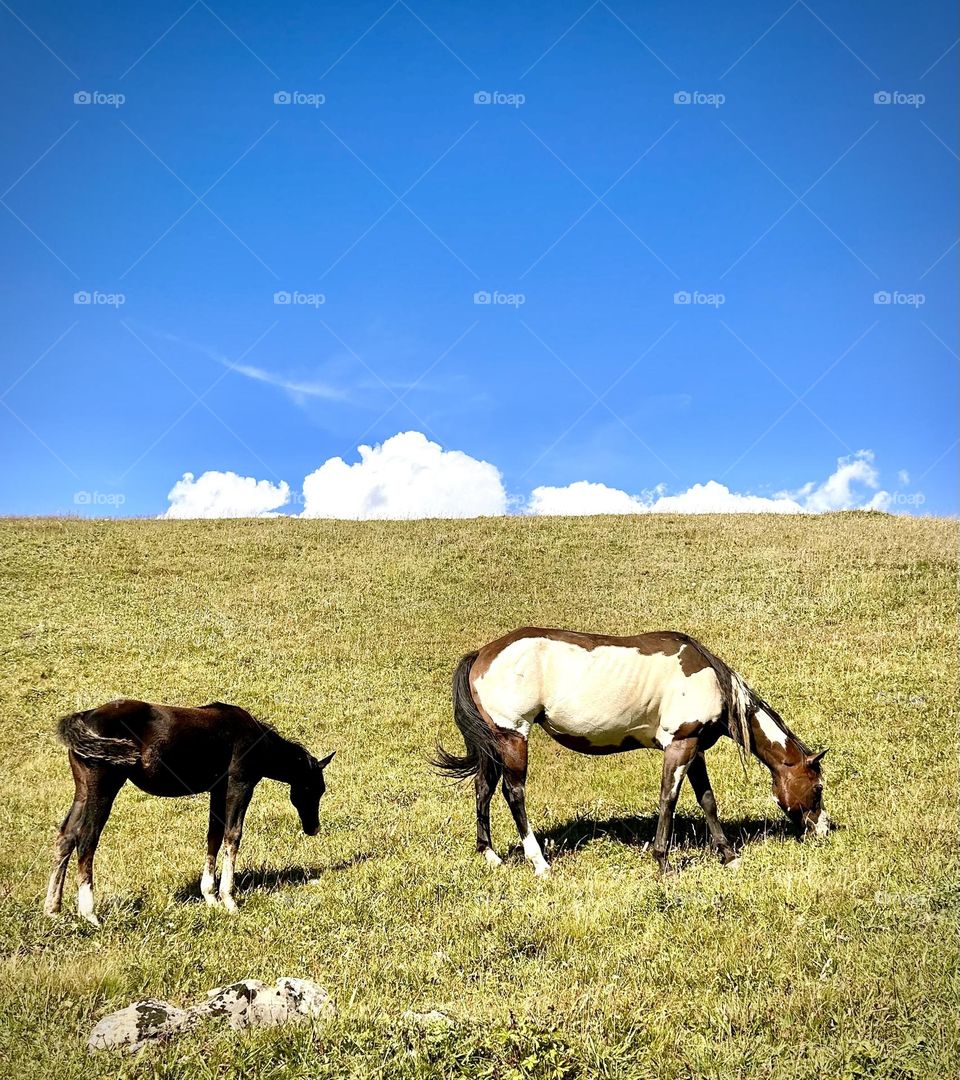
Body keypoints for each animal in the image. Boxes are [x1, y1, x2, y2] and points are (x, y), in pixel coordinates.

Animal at [429, 630, 829, 872]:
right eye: (818, 787)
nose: (823, 830)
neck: (712, 680)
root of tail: (482, 653)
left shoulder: (694, 748)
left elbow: (708, 801)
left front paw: (728, 857)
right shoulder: (679, 745)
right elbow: (669, 799)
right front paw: (662, 861)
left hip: (493, 742)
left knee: (483, 788)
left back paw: (490, 855)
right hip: (513, 737)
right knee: (513, 793)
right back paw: (539, 862)